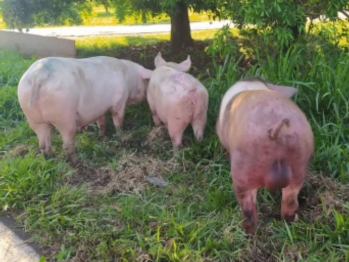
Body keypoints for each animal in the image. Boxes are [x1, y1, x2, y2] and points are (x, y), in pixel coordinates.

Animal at [17, 56, 152, 165]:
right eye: (146, 82)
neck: (130, 79)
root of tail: (39, 75)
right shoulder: (119, 102)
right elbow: (118, 121)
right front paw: (121, 135)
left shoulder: (100, 108)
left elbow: (101, 122)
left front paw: (102, 136)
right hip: (65, 116)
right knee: (67, 144)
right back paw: (77, 163)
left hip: (33, 117)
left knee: (43, 143)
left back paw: (50, 160)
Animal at [216, 77, 314, 234]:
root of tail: (275, 132)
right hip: (300, 162)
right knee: (290, 201)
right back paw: (291, 221)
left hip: (243, 172)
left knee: (248, 211)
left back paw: (248, 232)